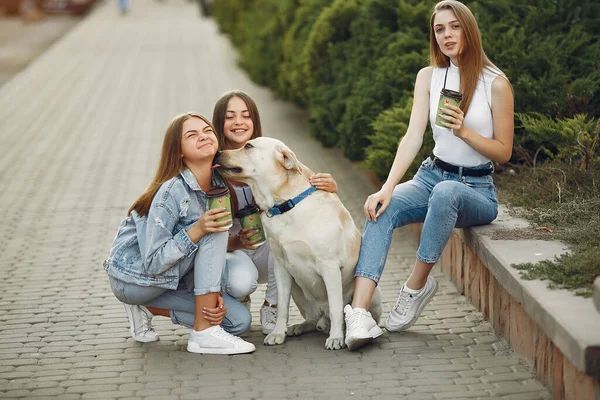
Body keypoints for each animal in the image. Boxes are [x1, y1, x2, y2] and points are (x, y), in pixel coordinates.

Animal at [218, 138, 382, 350]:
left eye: (248, 146)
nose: (218, 153)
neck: (286, 204)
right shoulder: (280, 266)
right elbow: (282, 306)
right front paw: (278, 333)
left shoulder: (329, 266)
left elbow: (336, 307)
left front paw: (336, 338)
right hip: (298, 290)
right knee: (313, 320)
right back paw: (299, 327)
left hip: (373, 294)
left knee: (342, 312)